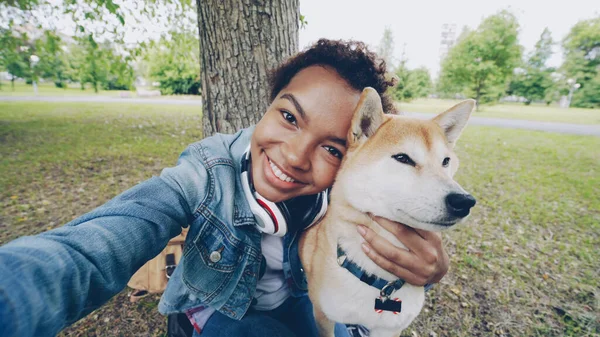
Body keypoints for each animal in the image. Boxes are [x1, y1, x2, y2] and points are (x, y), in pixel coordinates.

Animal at [300, 87, 478, 336]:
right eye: (403, 158)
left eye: (445, 161)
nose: (464, 201)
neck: (381, 282)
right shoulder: (323, 317)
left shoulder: (389, 328)